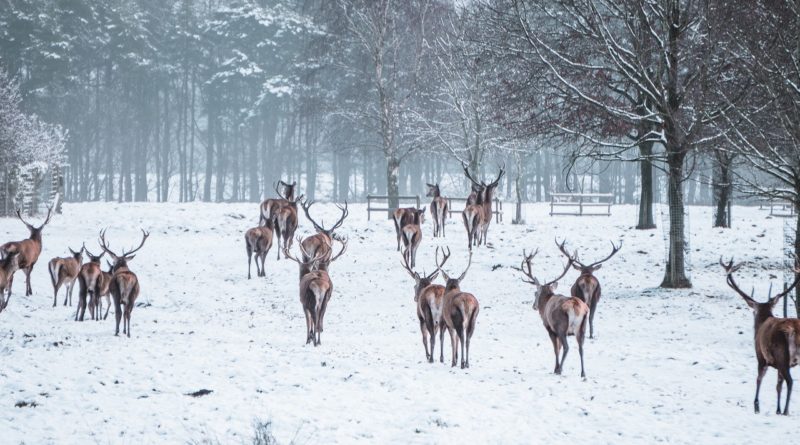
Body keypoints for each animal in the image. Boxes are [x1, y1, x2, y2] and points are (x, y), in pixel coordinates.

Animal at [520, 246, 592, 378]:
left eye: (535, 293)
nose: (534, 306)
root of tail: (576, 306)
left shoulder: (550, 328)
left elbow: (556, 348)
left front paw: (555, 368)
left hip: (561, 327)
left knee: (567, 347)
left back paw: (560, 370)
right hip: (582, 327)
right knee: (581, 348)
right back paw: (583, 373)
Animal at [720, 256, 800, 412]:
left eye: (753, 312)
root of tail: (793, 329)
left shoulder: (761, 356)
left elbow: (759, 379)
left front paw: (756, 405)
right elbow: (778, 386)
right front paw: (777, 410)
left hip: (782, 354)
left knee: (790, 381)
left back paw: (786, 411)